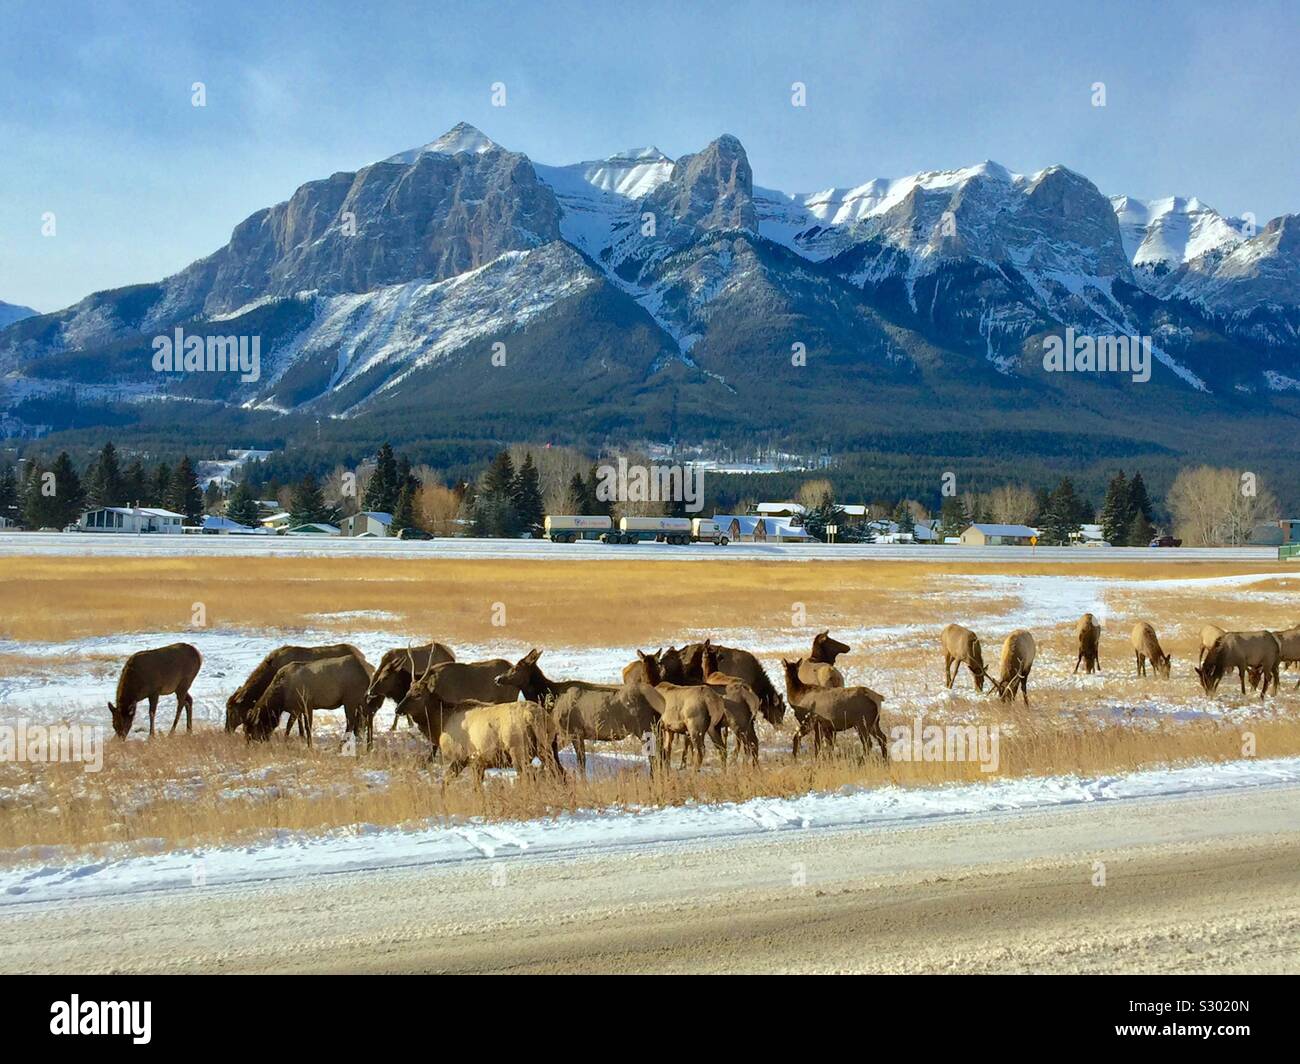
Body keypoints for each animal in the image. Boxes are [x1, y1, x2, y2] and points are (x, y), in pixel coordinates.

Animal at [244, 655, 379, 744]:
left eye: (251, 731)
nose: (249, 746)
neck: (280, 699)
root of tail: (368, 672)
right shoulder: (296, 709)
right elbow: (293, 726)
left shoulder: (307, 704)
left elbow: (305, 726)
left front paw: (309, 745)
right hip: (361, 698)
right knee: (368, 715)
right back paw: (369, 745)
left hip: (350, 698)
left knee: (351, 722)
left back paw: (341, 746)